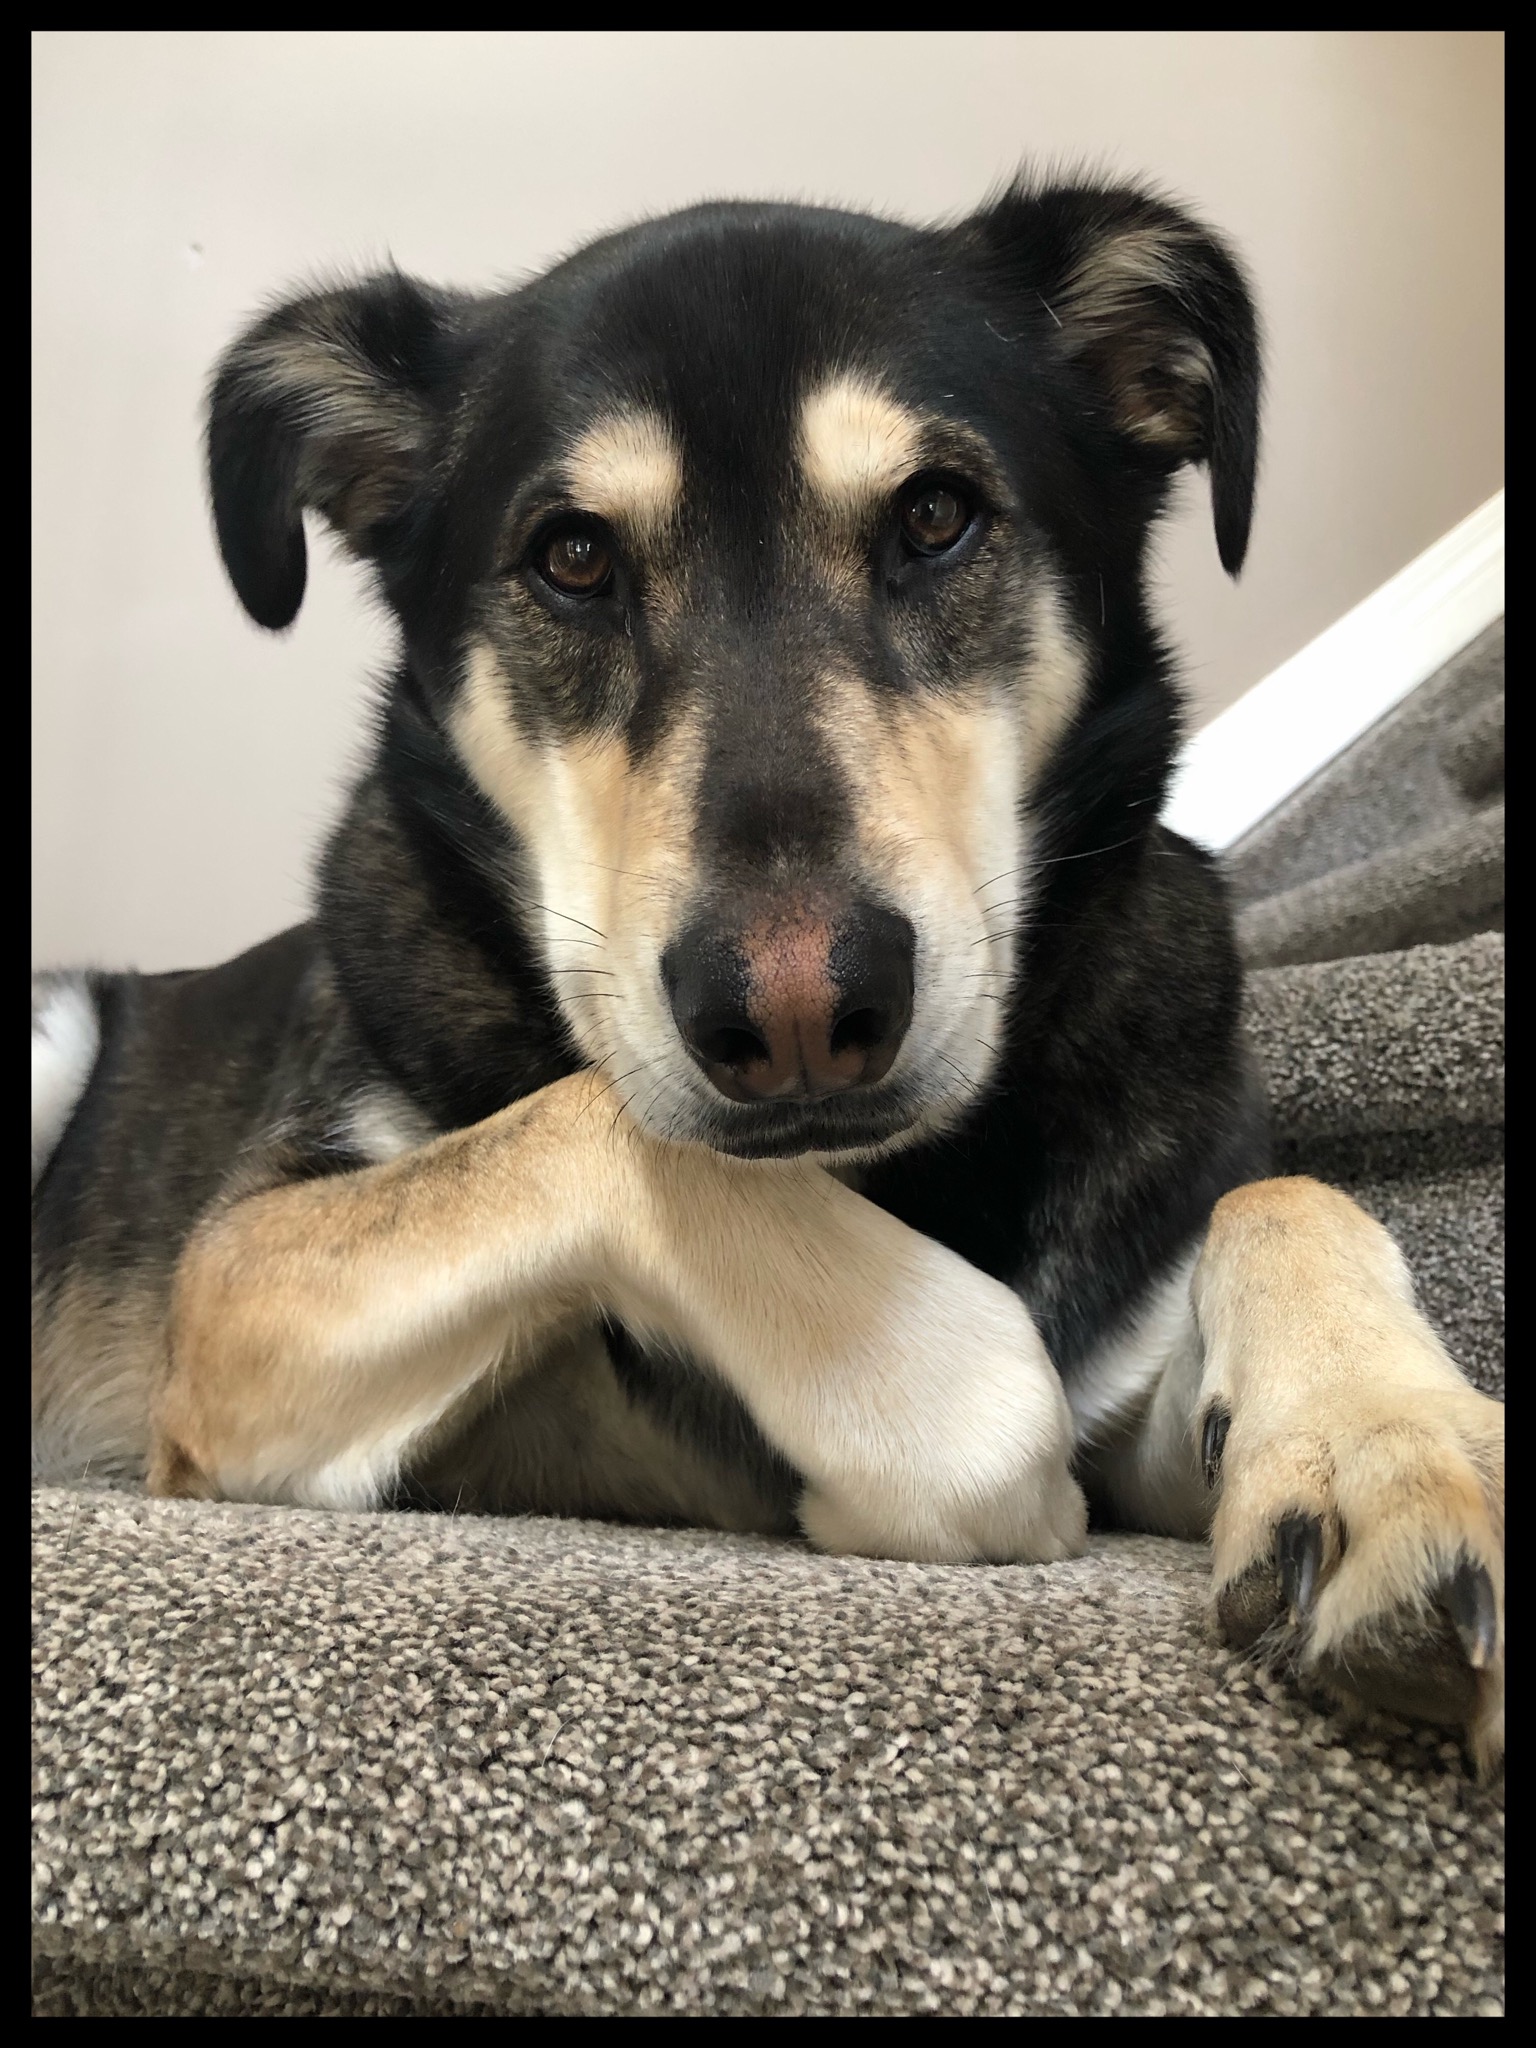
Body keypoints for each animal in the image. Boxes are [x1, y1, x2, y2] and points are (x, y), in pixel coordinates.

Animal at [32, 176, 1503, 1772]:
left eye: (936, 516)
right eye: (573, 557)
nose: (803, 1015)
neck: (896, 1178)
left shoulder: (1138, 1403)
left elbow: (1286, 1196)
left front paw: (1395, 1449)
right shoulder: (236, 1284)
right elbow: (604, 1124)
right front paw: (940, 1402)